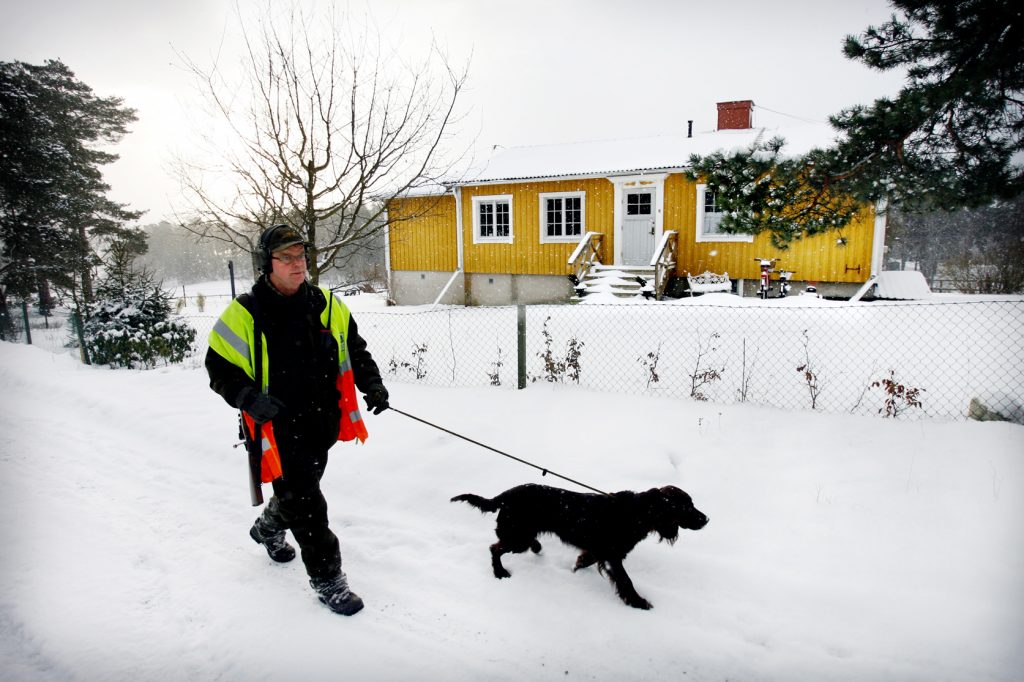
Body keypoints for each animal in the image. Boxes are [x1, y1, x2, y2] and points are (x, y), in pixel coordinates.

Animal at [452, 481, 708, 606]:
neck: (636, 513)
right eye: (687, 506)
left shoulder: (598, 551)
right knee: (494, 548)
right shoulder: (612, 555)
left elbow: (584, 560)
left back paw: (536, 548)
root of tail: (505, 495)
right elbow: (625, 580)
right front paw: (637, 602)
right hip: (517, 537)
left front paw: (575, 570)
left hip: (520, 535)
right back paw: (500, 572)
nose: (706, 519)